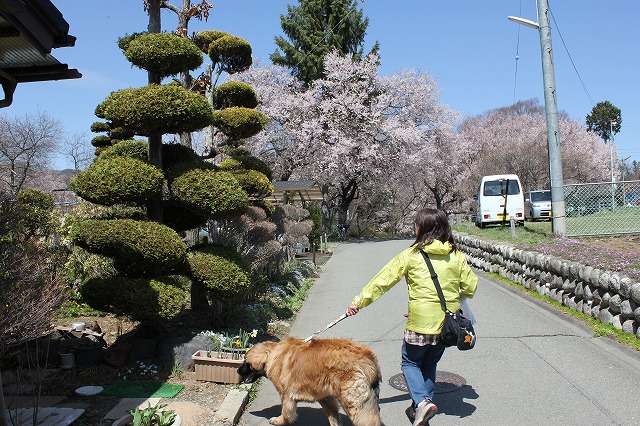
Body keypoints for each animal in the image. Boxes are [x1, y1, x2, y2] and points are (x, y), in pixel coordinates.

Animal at [239, 338, 380, 424]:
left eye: (245, 362)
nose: (238, 371)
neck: (272, 355)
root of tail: (367, 358)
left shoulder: (286, 395)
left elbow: (286, 413)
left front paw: (279, 421)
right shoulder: (325, 397)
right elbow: (333, 416)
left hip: (353, 401)